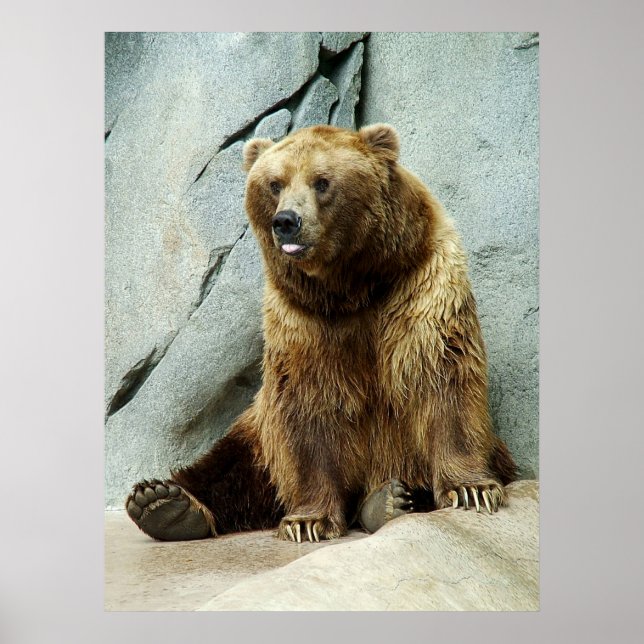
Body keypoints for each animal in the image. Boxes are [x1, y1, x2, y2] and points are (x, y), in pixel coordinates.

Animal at [125, 123, 516, 543]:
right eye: (275, 183)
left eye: (322, 181)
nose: (286, 221)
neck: (352, 288)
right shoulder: (302, 322)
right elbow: (308, 412)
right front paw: (307, 521)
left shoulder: (421, 287)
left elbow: (442, 378)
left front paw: (471, 489)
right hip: (259, 437)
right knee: (229, 465)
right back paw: (163, 502)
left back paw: (391, 500)